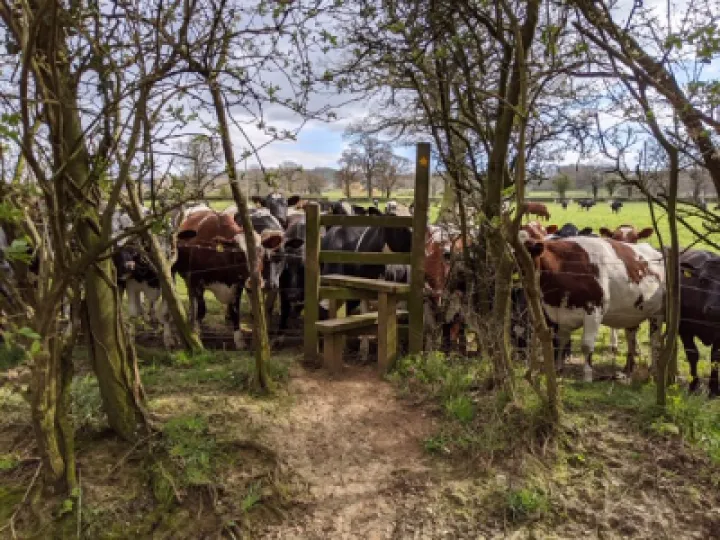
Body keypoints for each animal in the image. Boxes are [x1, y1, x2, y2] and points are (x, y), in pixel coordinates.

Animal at [519, 231, 665, 381]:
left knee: (655, 342)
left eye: (527, 258)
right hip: (631, 314)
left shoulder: (594, 311)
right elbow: (559, 343)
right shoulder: (556, 313)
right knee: (631, 339)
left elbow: (586, 346)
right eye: (516, 259)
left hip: (657, 314)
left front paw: (587, 377)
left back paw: (654, 371)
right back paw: (627, 370)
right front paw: (558, 370)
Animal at [679, 250, 720, 396]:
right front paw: (693, 385)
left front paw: (714, 390)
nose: (716, 309)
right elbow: (692, 354)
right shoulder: (684, 329)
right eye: (702, 280)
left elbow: (715, 358)